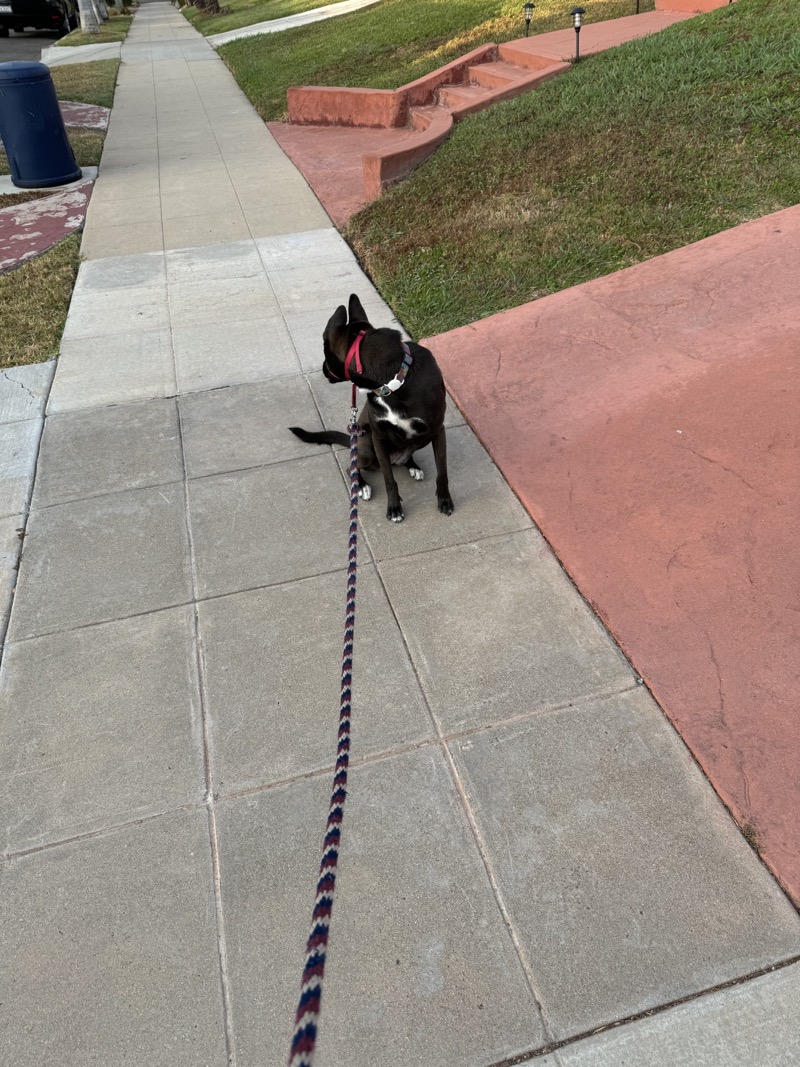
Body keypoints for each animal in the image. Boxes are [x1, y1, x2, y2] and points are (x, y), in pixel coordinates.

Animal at [290, 294, 454, 522]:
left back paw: (412, 466)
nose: (322, 369)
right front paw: (394, 508)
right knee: (351, 465)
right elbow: (388, 479)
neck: (392, 380)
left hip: (420, 439)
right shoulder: (378, 437)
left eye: (324, 352)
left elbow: (442, 472)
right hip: (366, 445)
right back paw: (362, 485)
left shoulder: (437, 430)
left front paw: (445, 500)